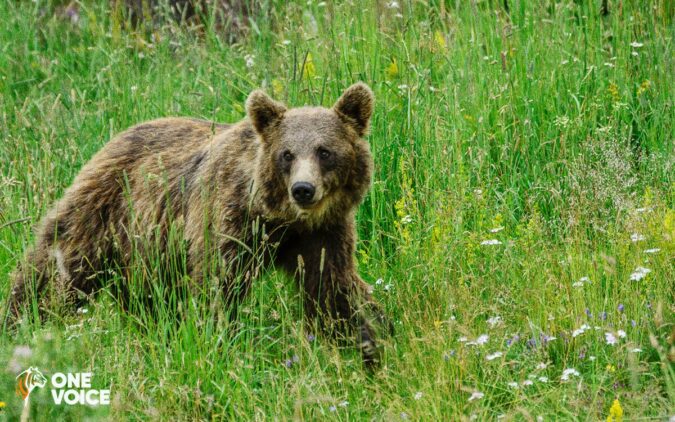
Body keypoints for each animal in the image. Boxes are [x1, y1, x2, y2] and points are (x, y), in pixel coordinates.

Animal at [7, 82, 390, 366]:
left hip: (150, 252)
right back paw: (21, 320)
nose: (303, 189)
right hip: (106, 213)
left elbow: (332, 289)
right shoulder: (227, 218)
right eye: (287, 154)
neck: (277, 217)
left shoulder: (322, 233)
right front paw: (220, 341)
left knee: (149, 300)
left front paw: (370, 341)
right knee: (55, 270)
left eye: (325, 151)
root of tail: (112, 139)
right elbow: (218, 285)